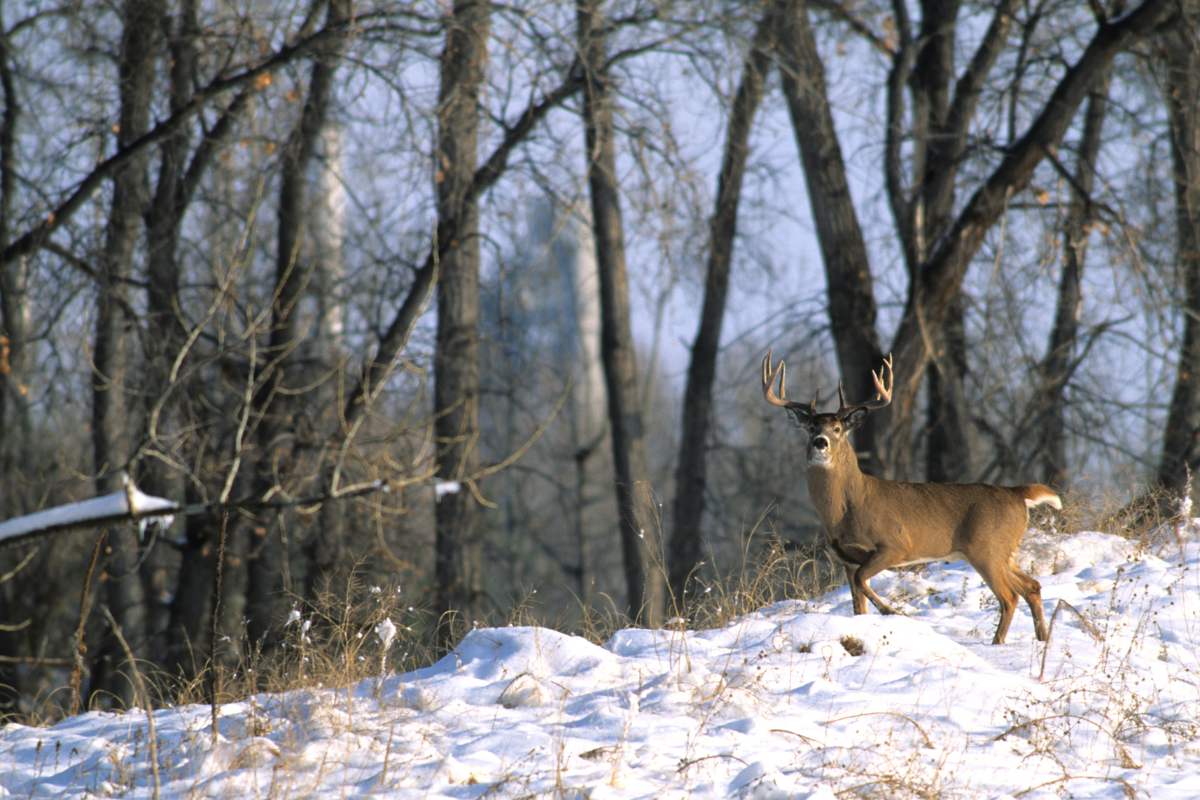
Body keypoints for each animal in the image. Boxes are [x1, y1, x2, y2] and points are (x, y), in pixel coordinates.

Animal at [762, 351, 1060, 645]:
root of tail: (1017, 494)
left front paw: (892, 611)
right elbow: (858, 604)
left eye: (837, 428)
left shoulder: (895, 545)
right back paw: (1042, 639)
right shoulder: (846, 558)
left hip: (986, 549)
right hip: (1004, 552)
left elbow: (862, 580)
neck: (845, 509)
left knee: (1010, 597)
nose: (820, 442)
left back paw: (998, 643)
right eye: (812, 427)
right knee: (1032, 586)